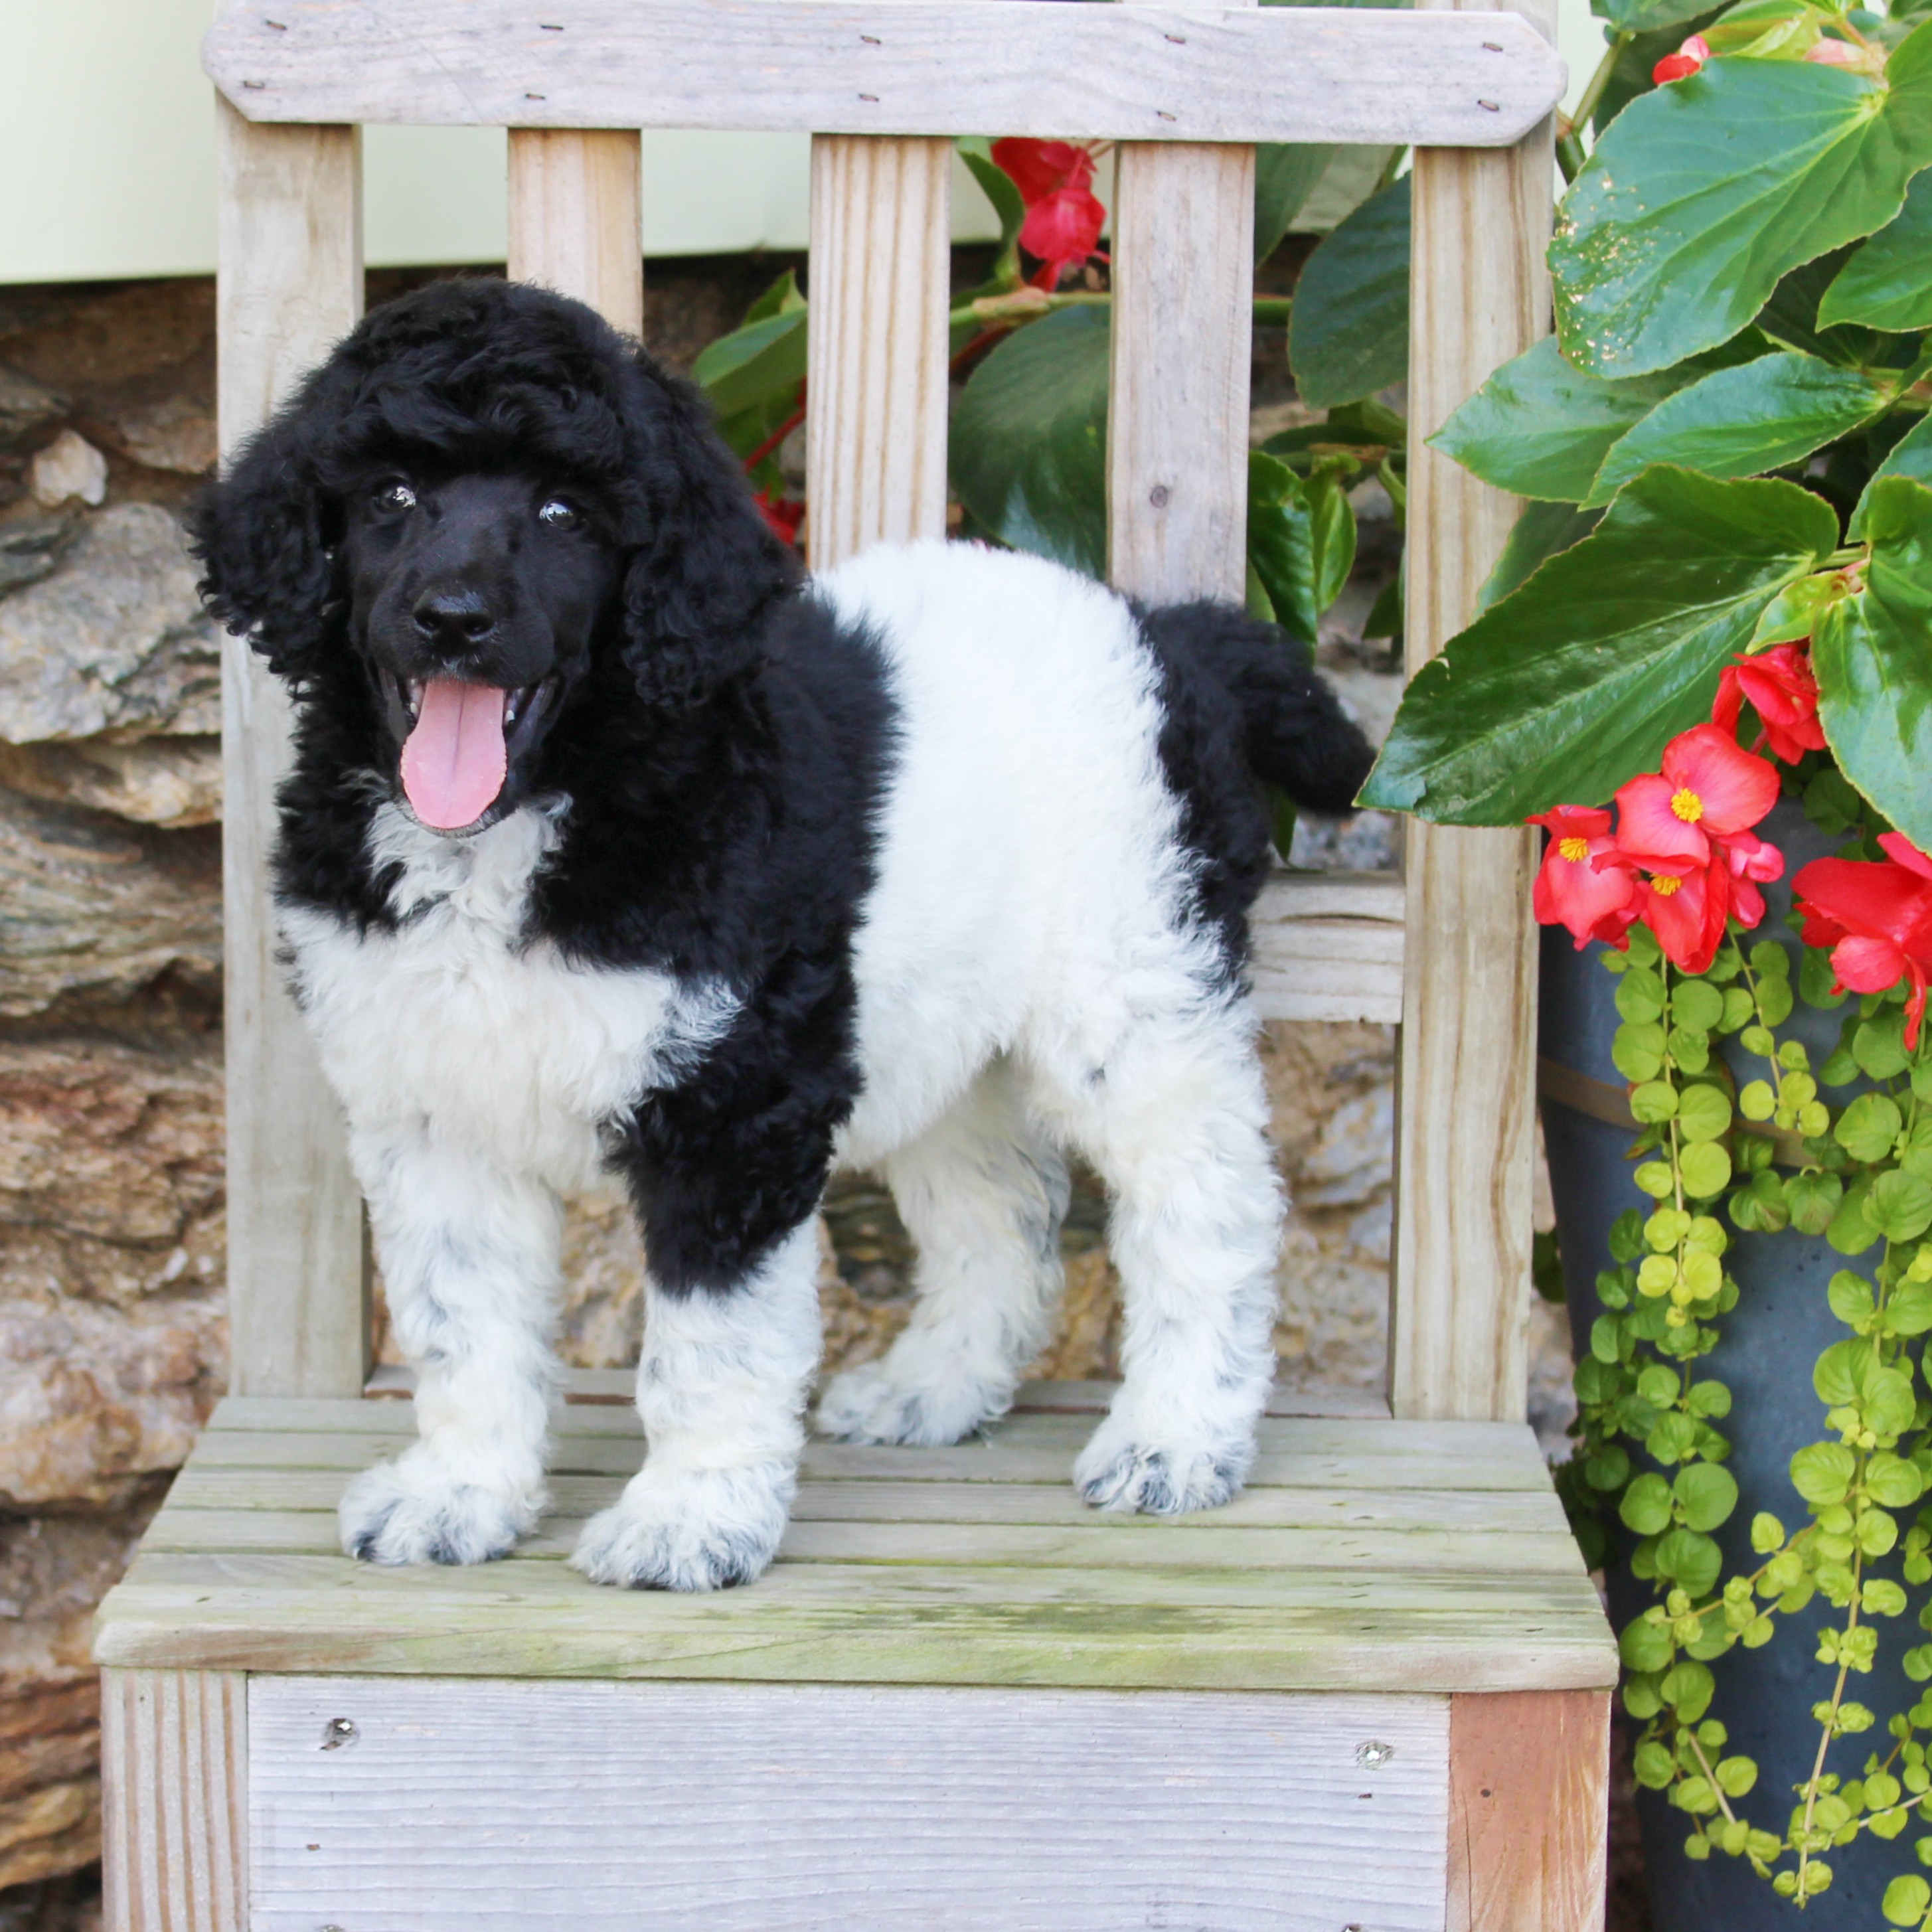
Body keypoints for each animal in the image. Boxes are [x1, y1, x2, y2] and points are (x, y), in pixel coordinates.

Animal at [192, 276, 1375, 1599]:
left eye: (562, 511)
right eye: (392, 496)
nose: (453, 620)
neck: (530, 819)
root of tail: (1160, 633)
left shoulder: (732, 1110)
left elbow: (707, 1344)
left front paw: (687, 1520)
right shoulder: (434, 1110)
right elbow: (463, 1326)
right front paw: (460, 1492)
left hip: (1133, 986)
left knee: (1205, 1202)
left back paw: (1176, 1438)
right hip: (937, 1036)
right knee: (1000, 1216)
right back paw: (935, 1390)